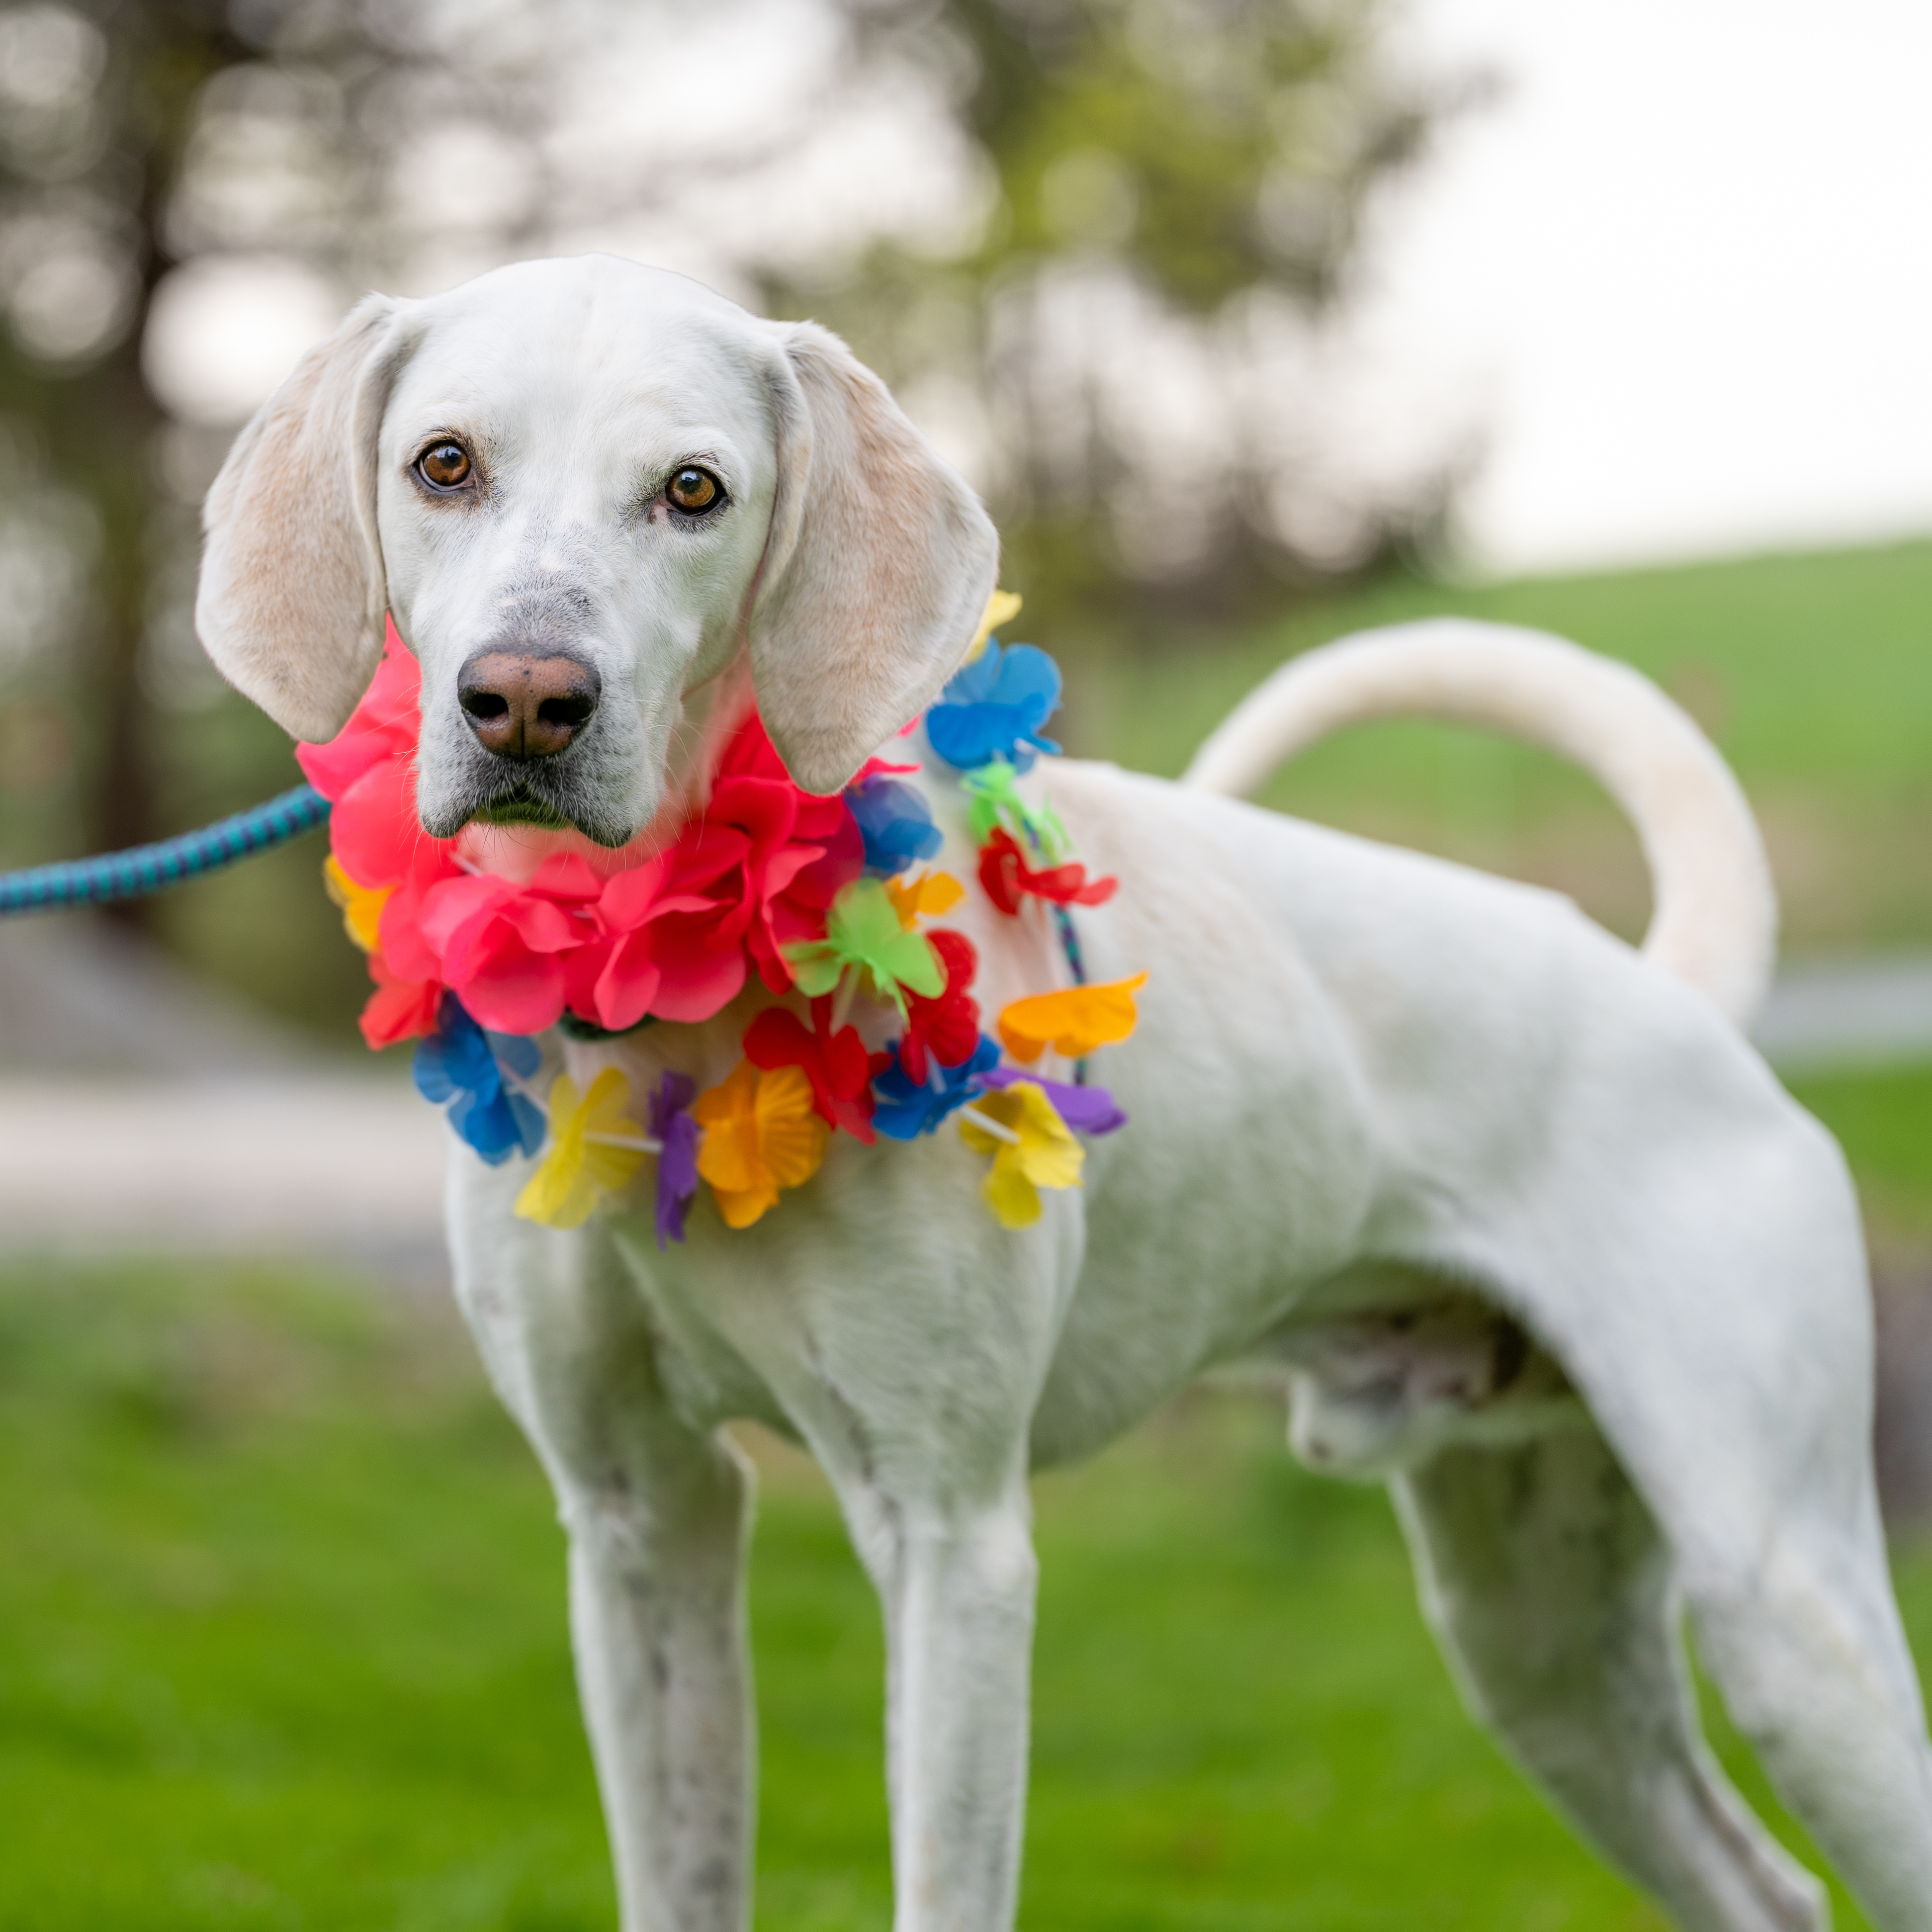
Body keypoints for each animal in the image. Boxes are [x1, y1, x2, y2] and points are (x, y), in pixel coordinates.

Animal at [192, 257, 1932, 1932]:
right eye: (444, 463)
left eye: (692, 490)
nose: (524, 699)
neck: (658, 993)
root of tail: (1672, 990)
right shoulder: (636, 1526)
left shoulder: (951, 1535)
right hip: (1535, 1631)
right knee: (1762, 1884)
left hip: (1788, 1614)